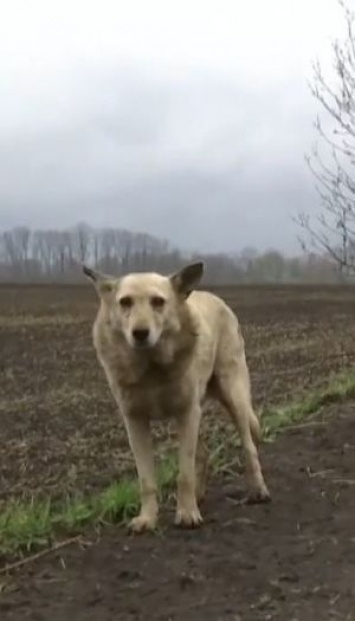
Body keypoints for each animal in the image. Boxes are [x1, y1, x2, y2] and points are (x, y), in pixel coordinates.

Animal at [83, 260, 272, 532]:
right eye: (125, 302)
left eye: (158, 301)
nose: (140, 332)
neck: (151, 366)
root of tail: (214, 297)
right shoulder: (136, 420)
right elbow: (147, 479)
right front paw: (147, 518)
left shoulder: (187, 412)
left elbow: (184, 473)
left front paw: (187, 513)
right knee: (203, 453)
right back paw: (200, 495)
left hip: (233, 394)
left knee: (248, 445)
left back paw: (257, 489)